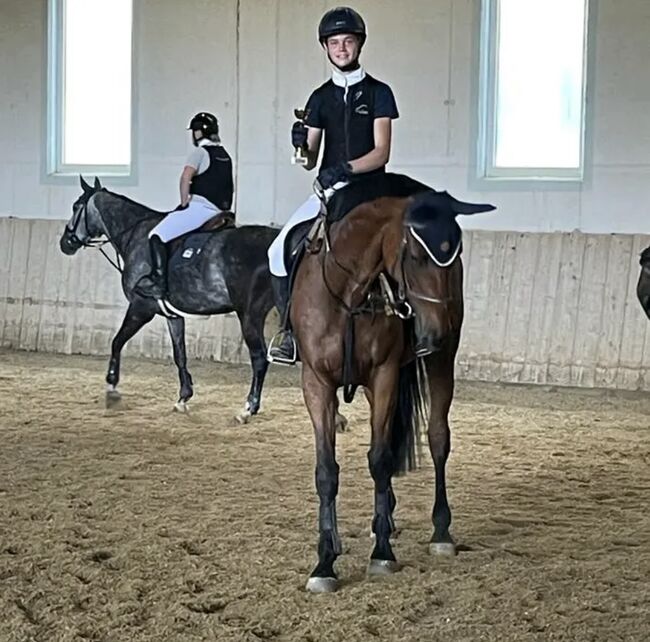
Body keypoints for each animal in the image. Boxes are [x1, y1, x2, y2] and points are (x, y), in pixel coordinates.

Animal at [292, 186, 494, 592]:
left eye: (455, 254)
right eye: (416, 255)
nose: (438, 332)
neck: (349, 296)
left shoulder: (383, 376)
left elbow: (380, 460)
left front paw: (382, 554)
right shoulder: (316, 383)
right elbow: (327, 471)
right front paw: (325, 562)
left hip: (440, 362)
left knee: (438, 438)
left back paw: (440, 533)